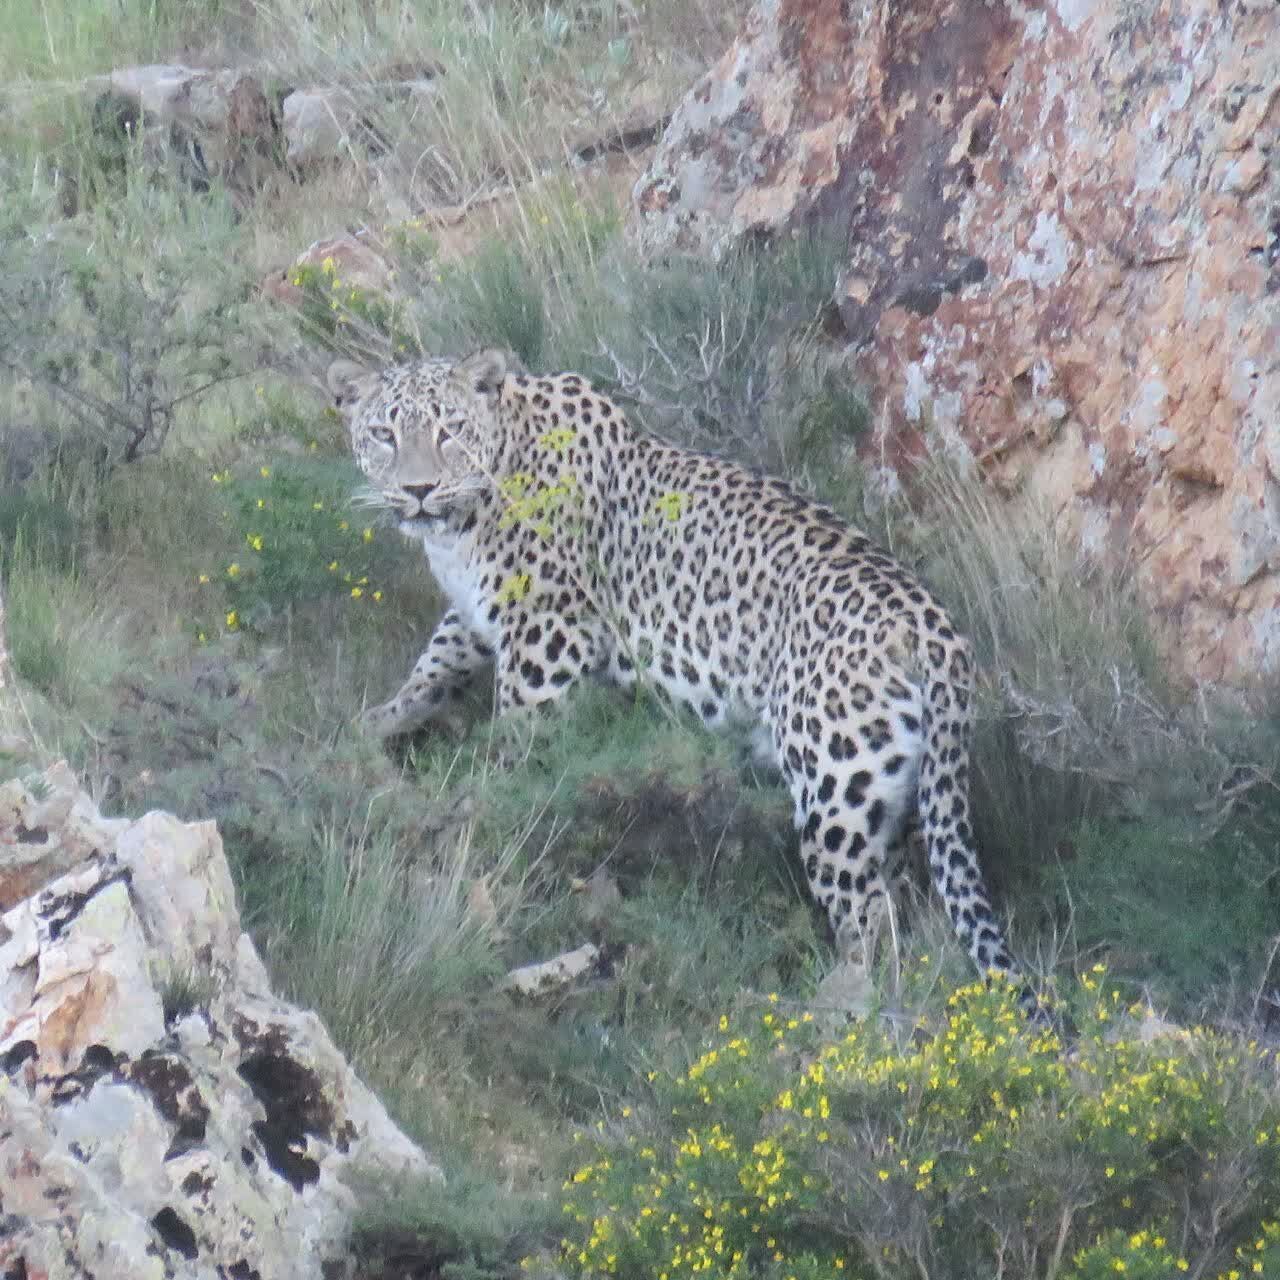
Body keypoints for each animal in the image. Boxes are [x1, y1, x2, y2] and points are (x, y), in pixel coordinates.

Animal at [327, 345, 1018, 983]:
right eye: (384, 434)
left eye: (451, 430)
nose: (417, 490)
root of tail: (936, 630)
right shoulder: (479, 614)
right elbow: (435, 663)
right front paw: (375, 724)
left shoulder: (548, 636)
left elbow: (516, 740)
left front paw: (486, 805)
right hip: (888, 791)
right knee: (905, 900)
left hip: (836, 784)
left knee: (869, 912)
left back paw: (842, 1001)